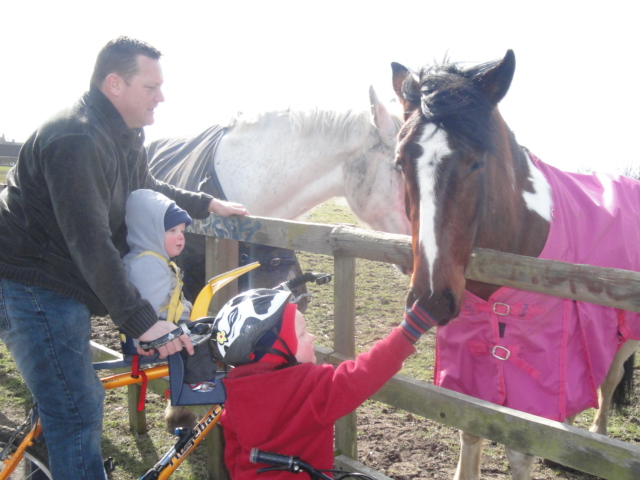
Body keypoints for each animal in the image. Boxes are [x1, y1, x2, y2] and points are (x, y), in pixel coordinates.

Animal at [391, 50, 640, 479]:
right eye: (400, 164)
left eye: (476, 163)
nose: (432, 299)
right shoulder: (471, 365)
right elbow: (471, 427)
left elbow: (520, 447)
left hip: (627, 330)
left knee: (610, 379)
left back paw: (598, 433)